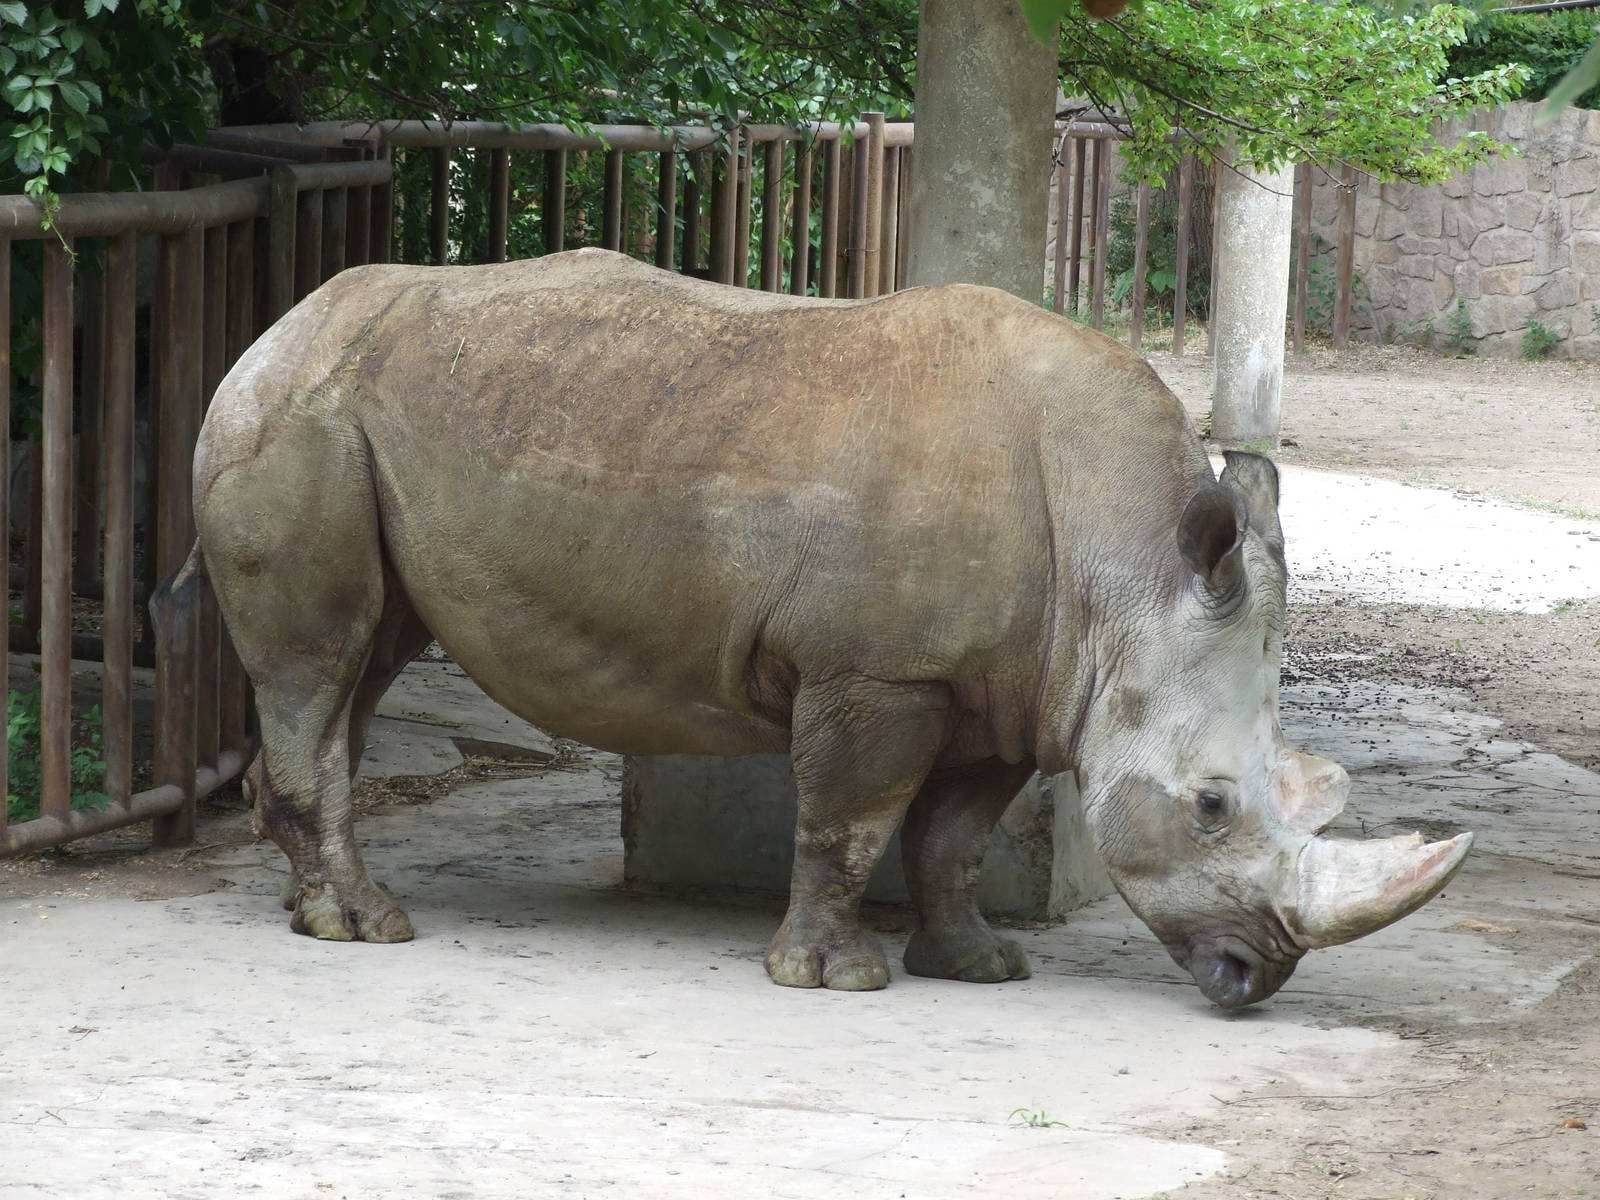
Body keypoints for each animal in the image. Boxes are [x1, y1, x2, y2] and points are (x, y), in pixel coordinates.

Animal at [175, 248, 1470, 1008]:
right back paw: (364, 928)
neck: (1129, 572)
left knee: (364, 662)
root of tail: (272, 328)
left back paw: (315, 912)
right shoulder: (881, 672)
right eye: (1209, 806)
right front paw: (834, 979)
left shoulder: (1009, 686)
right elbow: (852, 819)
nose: (1258, 976)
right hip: (297, 416)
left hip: (359, 409)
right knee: (322, 660)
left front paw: (980, 967)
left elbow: (949, 837)